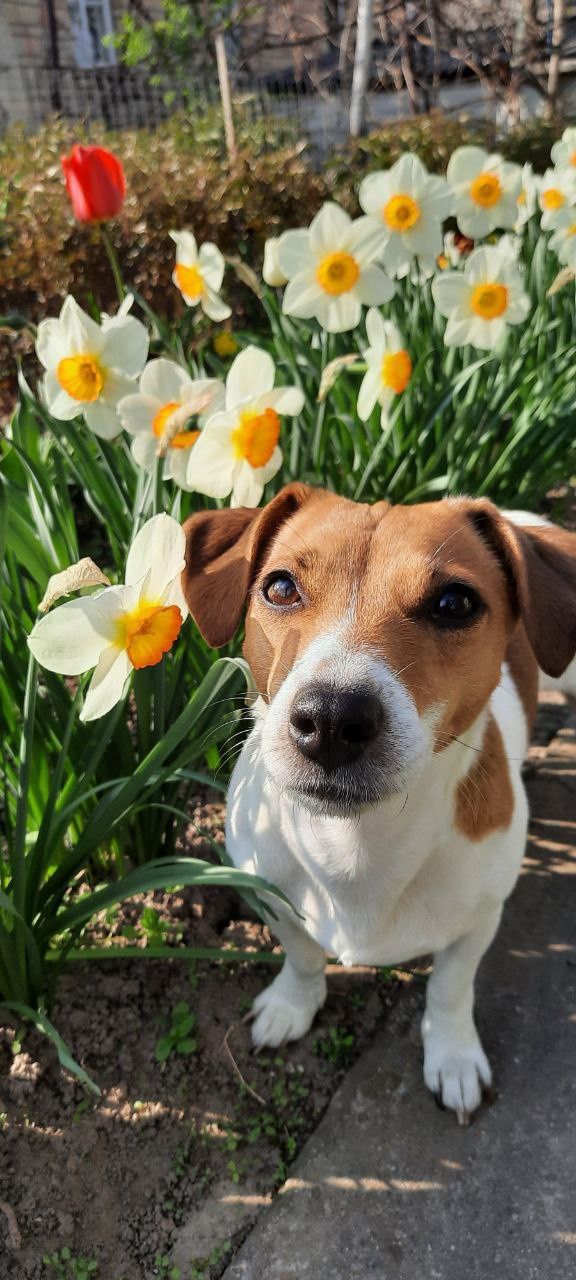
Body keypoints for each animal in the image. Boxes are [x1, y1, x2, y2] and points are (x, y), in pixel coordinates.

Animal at [181, 483, 576, 1126]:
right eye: (280, 587)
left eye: (454, 602)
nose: (331, 718)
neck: (356, 843)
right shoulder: (271, 891)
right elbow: (302, 956)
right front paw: (293, 1005)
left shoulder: (478, 921)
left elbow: (451, 989)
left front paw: (453, 1056)